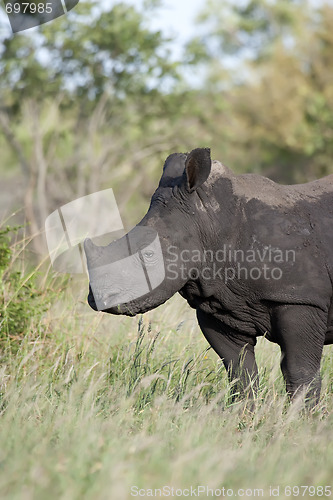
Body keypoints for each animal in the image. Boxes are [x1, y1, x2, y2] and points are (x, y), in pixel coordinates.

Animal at [84, 146, 332, 404]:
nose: (98, 298)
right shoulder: (222, 305)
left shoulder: (301, 298)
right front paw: (243, 414)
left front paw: (301, 414)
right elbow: (239, 372)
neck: (212, 222)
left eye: (150, 255)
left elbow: (300, 373)